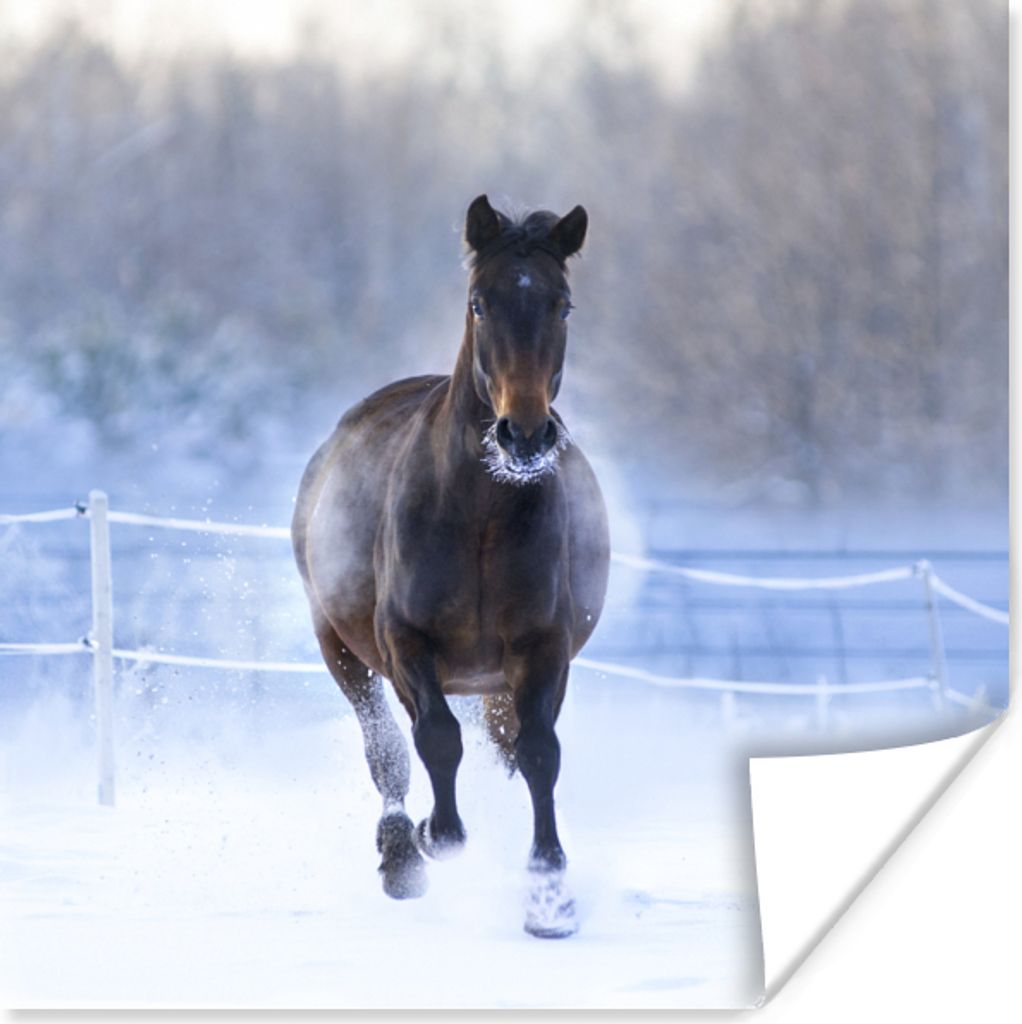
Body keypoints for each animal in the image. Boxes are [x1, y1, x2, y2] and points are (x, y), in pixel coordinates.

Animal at [291, 194, 609, 938]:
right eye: (479, 303)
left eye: (563, 304)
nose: (525, 436)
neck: (479, 517)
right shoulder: (406, 642)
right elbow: (435, 738)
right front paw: (439, 837)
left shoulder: (543, 647)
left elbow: (539, 753)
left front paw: (549, 896)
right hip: (339, 646)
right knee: (386, 745)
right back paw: (401, 855)